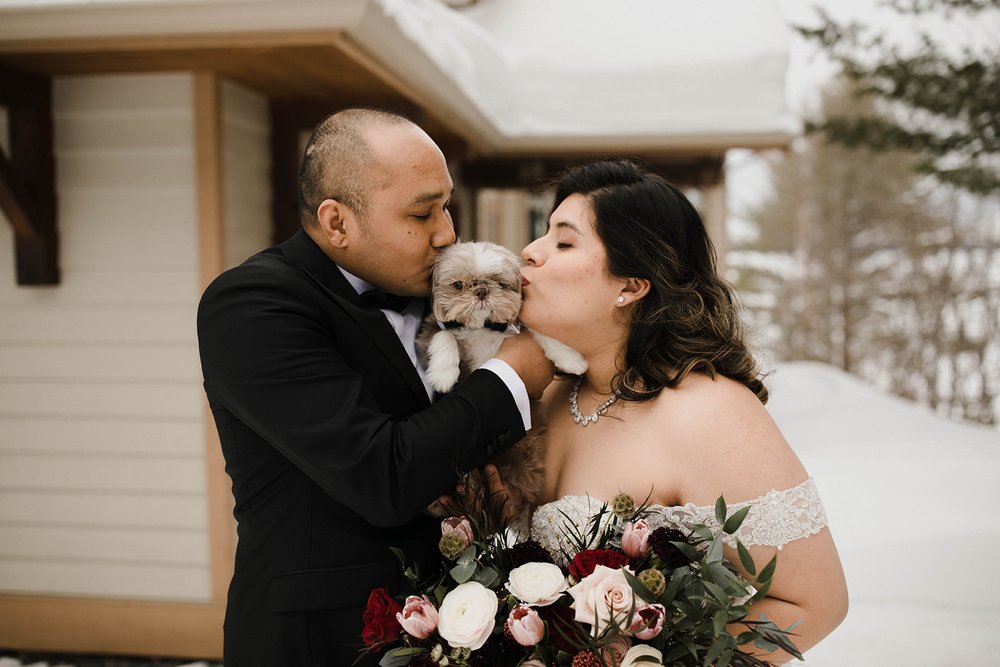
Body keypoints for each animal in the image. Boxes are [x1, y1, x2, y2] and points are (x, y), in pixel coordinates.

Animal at [418, 241, 588, 520]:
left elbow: (538, 330)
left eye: (499, 283)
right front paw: (444, 374)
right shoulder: (430, 332)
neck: (481, 328)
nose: (482, 290)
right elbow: (445, 337)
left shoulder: (517, 328)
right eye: (458, 285)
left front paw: (571, 358)